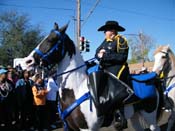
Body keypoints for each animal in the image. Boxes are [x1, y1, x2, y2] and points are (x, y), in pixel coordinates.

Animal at [18, 22, 162, 130]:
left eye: (52, 39)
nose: (27, 61)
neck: (76, 90)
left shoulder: (87, 128)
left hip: (150, 116)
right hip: (135, 116)